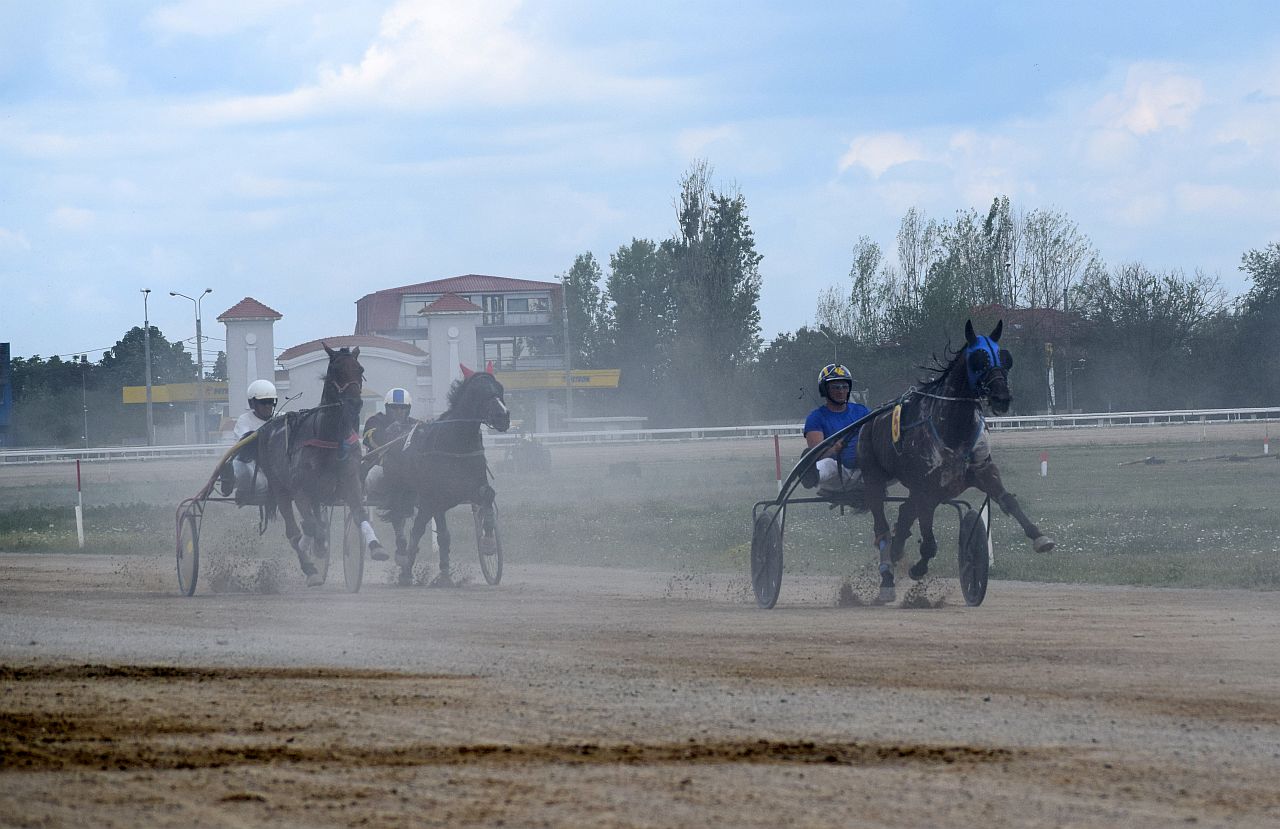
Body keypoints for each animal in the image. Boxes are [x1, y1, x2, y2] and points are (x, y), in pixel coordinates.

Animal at [254, 343, 383, 586]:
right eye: (335, 369)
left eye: (360, 369)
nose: (355, 403)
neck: (330, 439)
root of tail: (269, 429)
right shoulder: (301, 491)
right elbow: (312, 526)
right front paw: (317, 546)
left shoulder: (351, 482)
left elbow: (359, 514)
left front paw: (376, 546)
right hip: (281, 489)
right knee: (294, 530)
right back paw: (310, 565)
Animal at [379, 366, 510, 586]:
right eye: (480, 392)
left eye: (499, 389)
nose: (504, 416)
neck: (456, 442)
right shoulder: (433, 496)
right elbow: (421, 530)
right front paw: (407, 570)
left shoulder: (469, 489)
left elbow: (487, 496)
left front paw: (488, 542)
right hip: (403, 491)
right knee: (403, 520)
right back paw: (405, 563)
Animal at [857, 320, 1055, 603]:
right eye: (978, 359)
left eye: (1005, 358)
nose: (1002, 397)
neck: (953, 426)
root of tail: (871, 418)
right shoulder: (926, 487)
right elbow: (929, 541)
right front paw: (918, 568)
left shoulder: (983, 470)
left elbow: (1008, 500)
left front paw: (1040, 537)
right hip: (874, 475)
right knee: (882, 525)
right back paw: (887, 576)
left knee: (905, 513)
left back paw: (896, 552)